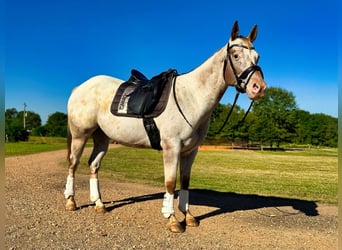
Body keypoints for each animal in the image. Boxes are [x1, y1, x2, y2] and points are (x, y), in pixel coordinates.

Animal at [65, 21, 268, 232]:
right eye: (236, 55)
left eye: (257, 57)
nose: (258, 88)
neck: (191, 97)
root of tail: (80, 87)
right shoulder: (172, 147)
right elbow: (170, 183)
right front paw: (172, 220)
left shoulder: (190, 151)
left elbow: (185, 182)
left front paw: (188, 216)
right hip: (80, 136)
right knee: (73, 164)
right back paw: (71, 202)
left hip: (102, 138)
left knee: (93, 165)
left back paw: (99, 204)